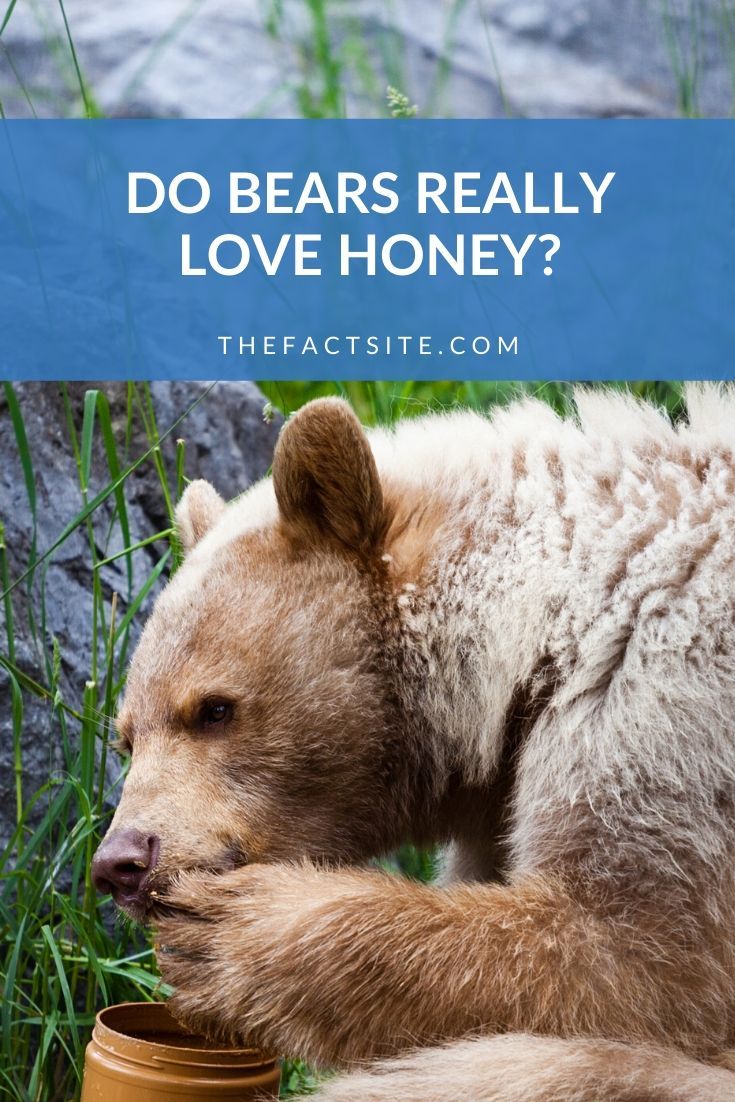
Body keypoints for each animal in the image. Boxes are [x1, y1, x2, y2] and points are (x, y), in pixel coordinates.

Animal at [91, 386, 735, 1101]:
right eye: (125, 738)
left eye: (214, 709)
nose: (122, 861)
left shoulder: (665, 701)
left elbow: (641, 958)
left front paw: (225, 935)